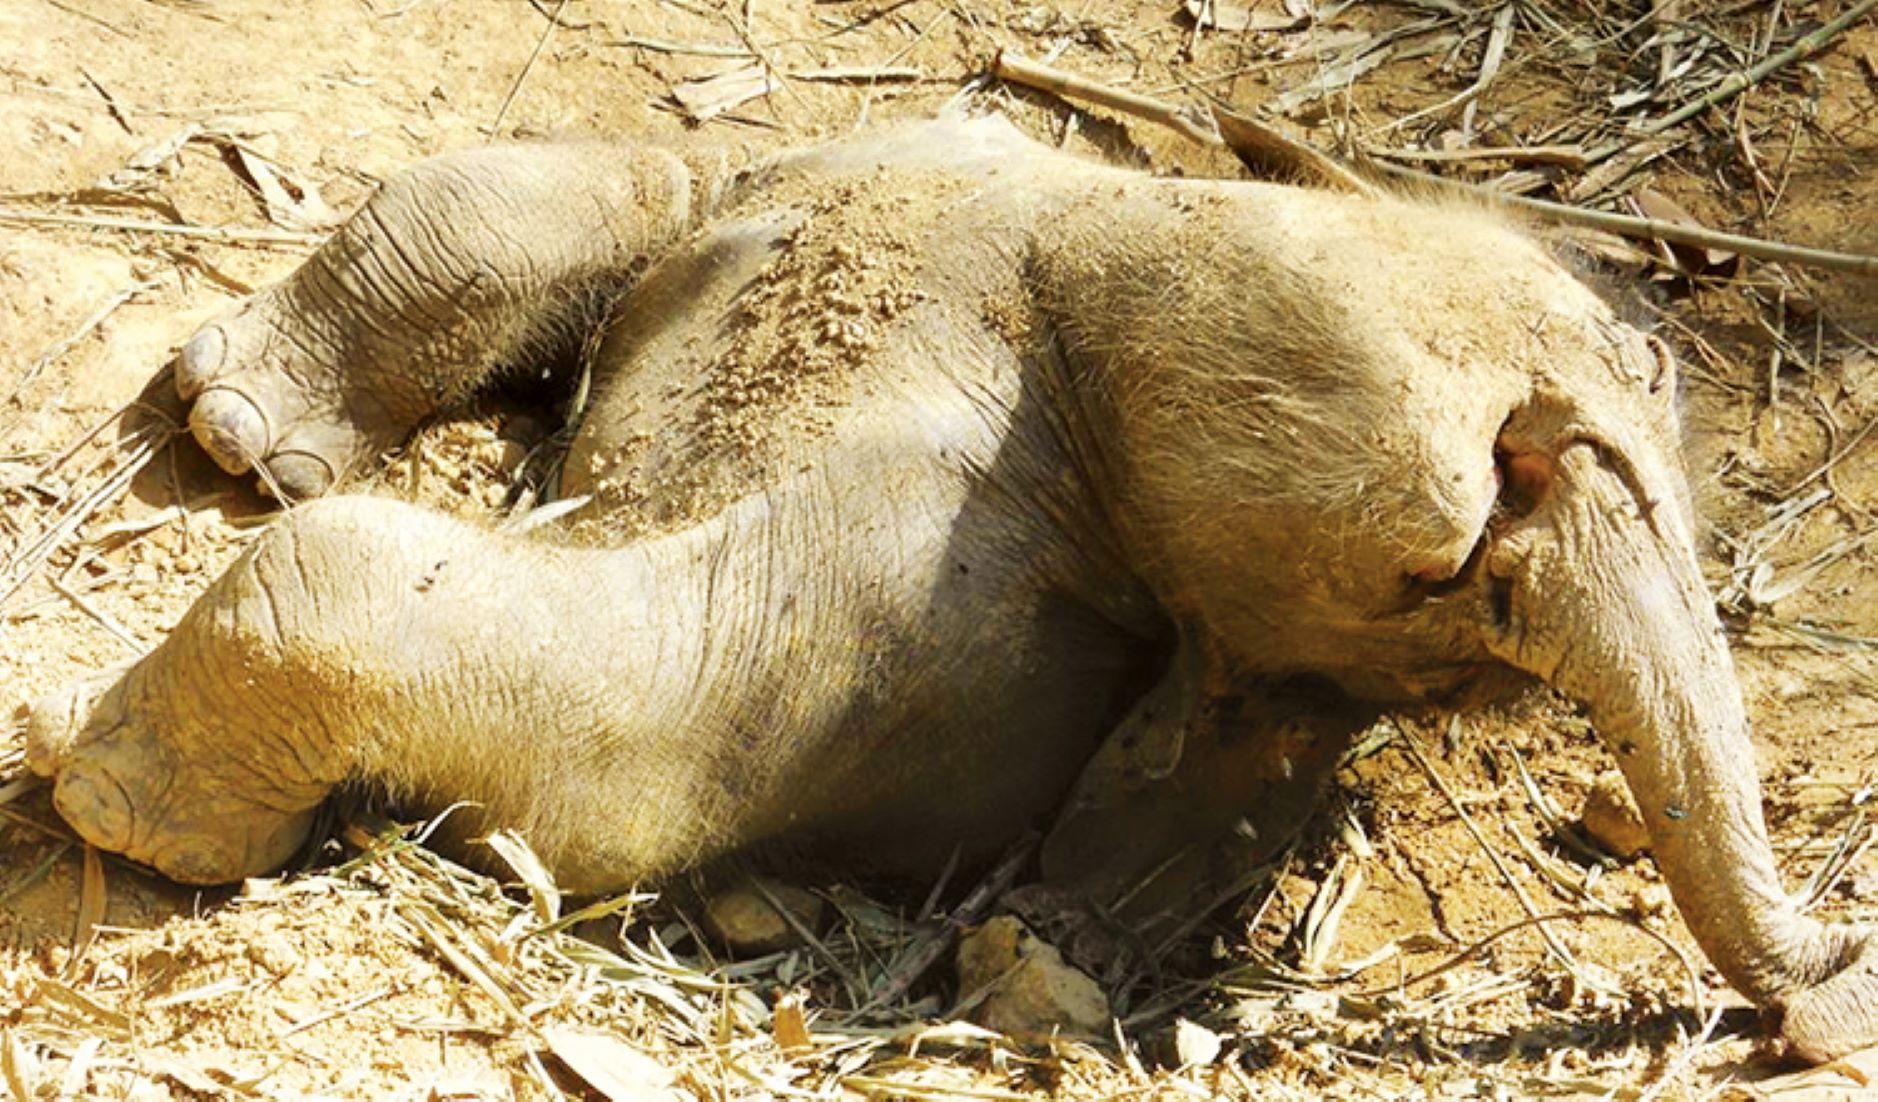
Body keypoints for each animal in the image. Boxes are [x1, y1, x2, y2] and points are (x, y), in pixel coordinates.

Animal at [22, 116, 1878, 1058]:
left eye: (1454, 612)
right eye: (1468, 538)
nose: (1828, 975)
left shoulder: (940, 623)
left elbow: (614, 766)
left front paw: (89, 782)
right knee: (600, 175)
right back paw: (239, 429)